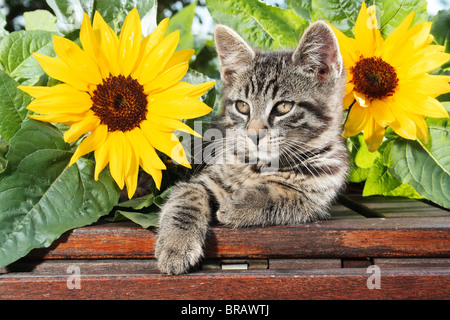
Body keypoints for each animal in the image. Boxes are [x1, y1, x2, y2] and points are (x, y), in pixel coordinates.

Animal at [155, 20, 348, 276]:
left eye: (283, 107)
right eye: (242, 106)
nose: (254, 134)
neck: (261, 166)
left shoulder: (316, 197)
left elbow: (282, 195)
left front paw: (238, 204)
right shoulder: (202, 180)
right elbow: (185, 198)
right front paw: (175, 245)